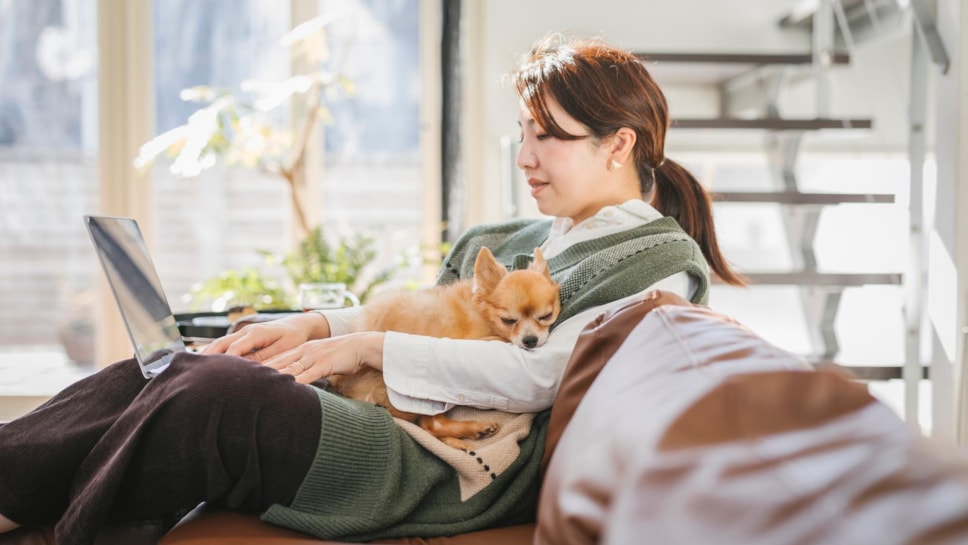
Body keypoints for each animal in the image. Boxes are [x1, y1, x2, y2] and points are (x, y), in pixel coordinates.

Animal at [328, 246, 560, 446]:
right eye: (509, 320)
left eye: (546, 316)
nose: (530, 340)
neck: (483, 313)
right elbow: (500, 339)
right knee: (432, 424)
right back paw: (475, 428)